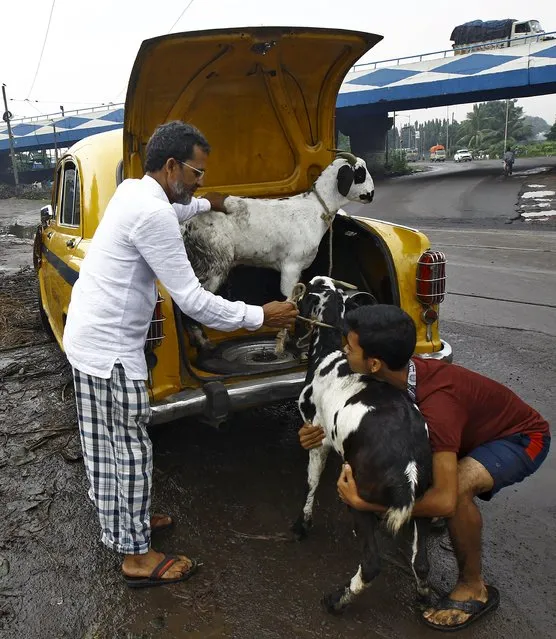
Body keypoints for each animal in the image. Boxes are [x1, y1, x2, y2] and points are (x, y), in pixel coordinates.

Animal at [294, 278, 432, 616]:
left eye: (312, 286)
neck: (331, 352)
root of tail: (408, 467)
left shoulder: (317, 437)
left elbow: (311, 482)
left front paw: (302, 525)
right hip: (425, 498)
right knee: (421, 562)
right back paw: (423, 594)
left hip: (361, 491)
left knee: (371, 564)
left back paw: (337, 600)